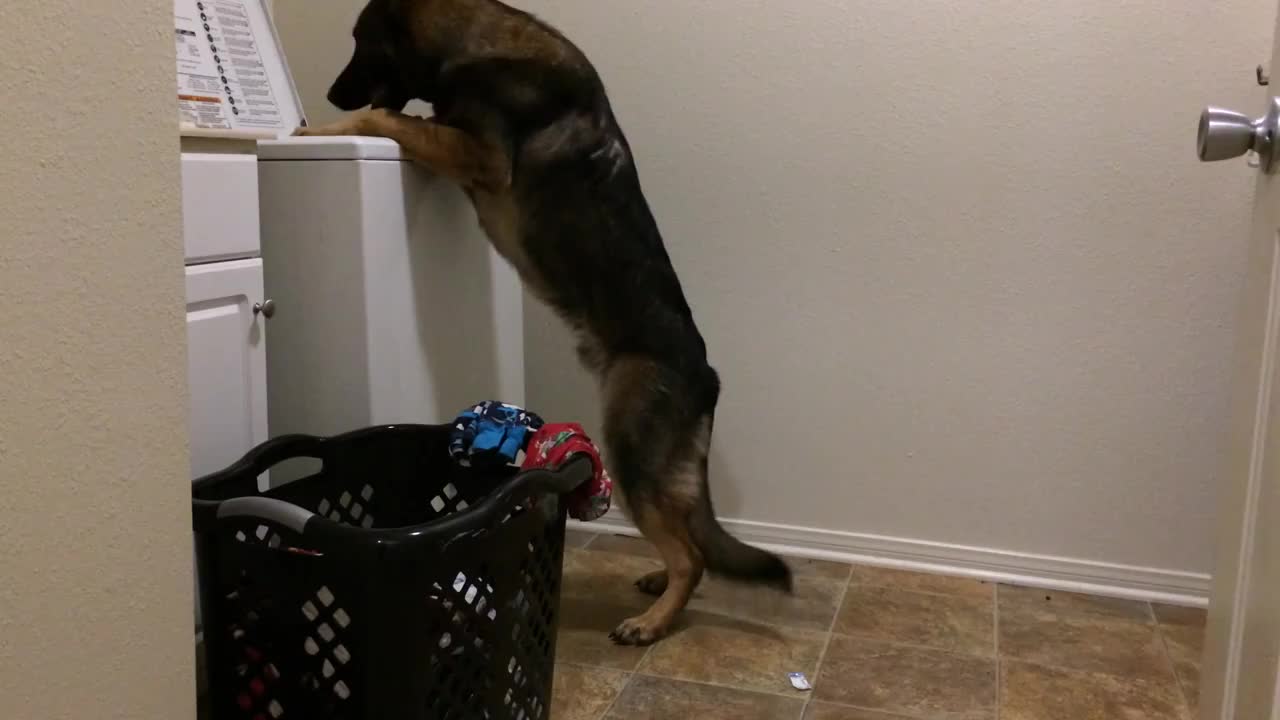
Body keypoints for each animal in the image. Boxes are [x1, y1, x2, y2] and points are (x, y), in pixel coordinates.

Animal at [299, 0, 793, 640]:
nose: (328, 94)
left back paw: (653, 621)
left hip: (631, 451)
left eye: (360, 41)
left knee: (690, 554)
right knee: (691, 540)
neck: (474, 41)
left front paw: (314, 129)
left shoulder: (480, 154)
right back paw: (660, 586)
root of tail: (707, 375)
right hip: (661, 466)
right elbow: (400, 116)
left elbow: (388, 116)